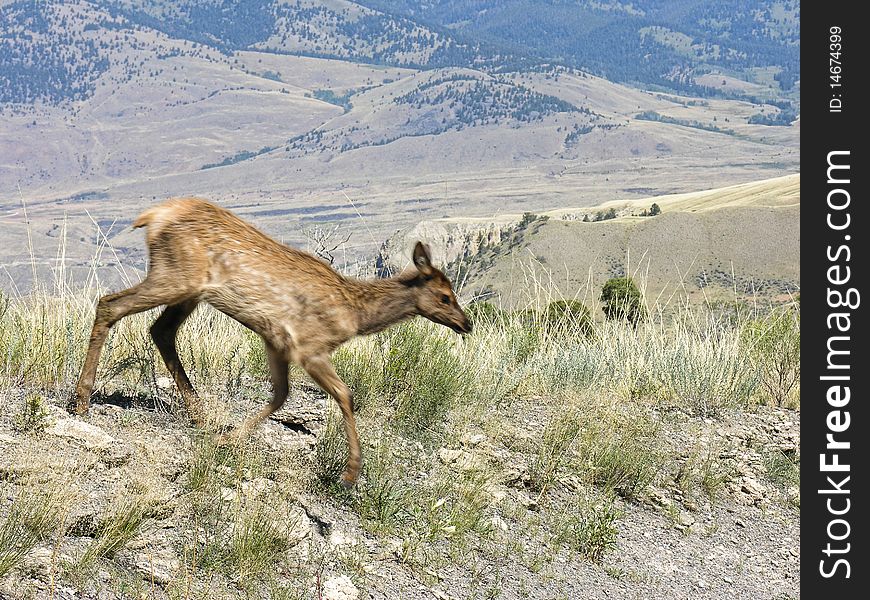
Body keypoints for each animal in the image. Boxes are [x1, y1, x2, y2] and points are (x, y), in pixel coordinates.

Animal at [74, 198, 470, 488]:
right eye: (445, 296)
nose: (466, 323)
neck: (356, 315)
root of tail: (154, 216)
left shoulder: (276, 342)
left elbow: (280, 396)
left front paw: (228, 438)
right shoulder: (309, 347)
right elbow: (344, 395)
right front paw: (350, 473)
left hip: (188, 289)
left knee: (161, 331)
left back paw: (199, 413)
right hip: (174, 276)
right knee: (110, 304)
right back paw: (82, 401)